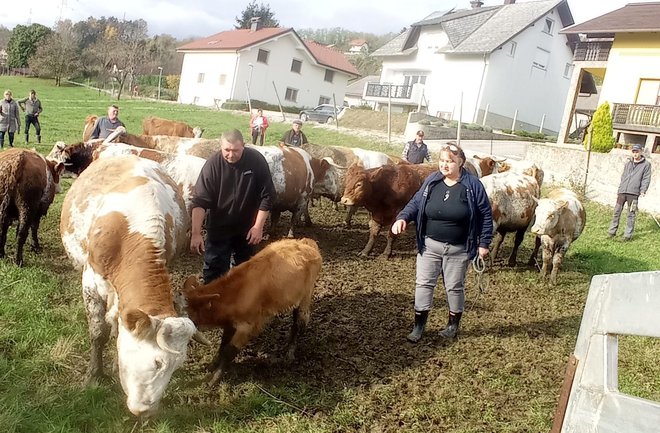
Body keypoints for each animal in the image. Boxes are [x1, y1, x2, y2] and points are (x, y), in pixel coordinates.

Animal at [61, 154, 209, 416]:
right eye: (157, 362)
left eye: (177, 366)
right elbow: (98, 332)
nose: (146, 411)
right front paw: (94, 375)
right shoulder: (90, 281)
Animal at [183, 236, 322, 384]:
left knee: (298, 322)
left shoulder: (248, 326)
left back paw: (289, 353)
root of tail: (305, 242)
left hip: (305, 297)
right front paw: (212, 365)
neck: (237, 292)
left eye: (190, 313)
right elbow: (223, 343)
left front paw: (215, 378)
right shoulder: (231, 323)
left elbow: (229, 350)